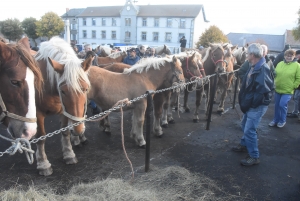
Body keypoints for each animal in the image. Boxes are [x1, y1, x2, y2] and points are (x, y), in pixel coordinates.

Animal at [33, 37, 91, 175]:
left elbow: (65, 132)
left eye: (86, 89)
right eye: (63, 91)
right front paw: (43, 163)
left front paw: (69, 154)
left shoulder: (64, 111)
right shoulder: (38, 113)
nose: (78, 129)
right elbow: (41, 137)